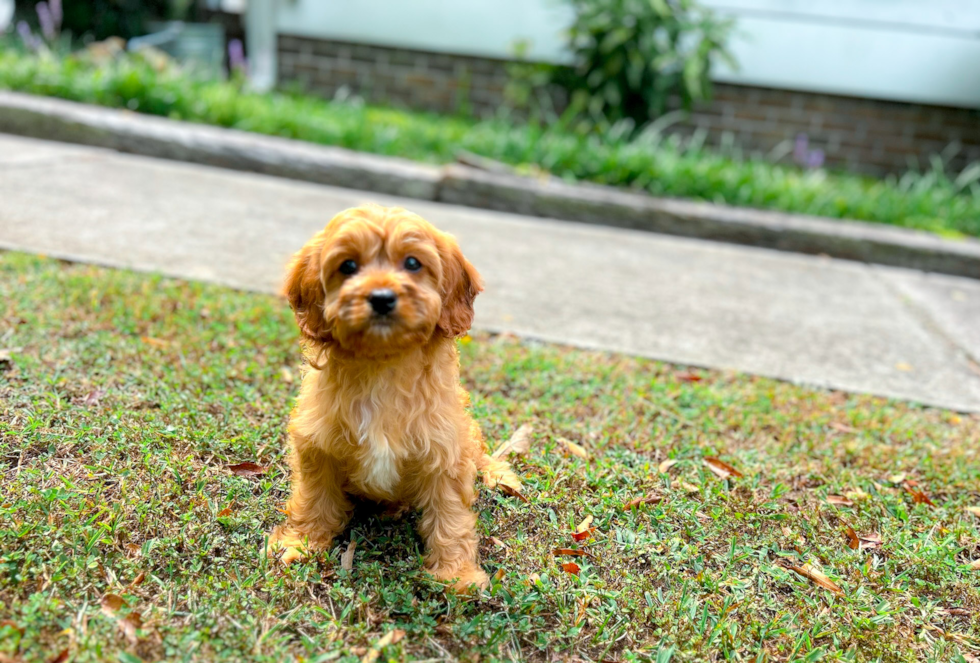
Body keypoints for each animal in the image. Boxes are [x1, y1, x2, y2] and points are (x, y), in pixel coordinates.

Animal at [260, 204, 520, 592]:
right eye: (348, 266)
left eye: (412, 263)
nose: (382, 298)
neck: (383, 364)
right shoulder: (317, 445)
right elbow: (314, 498)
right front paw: (300, 542)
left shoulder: (445, 452)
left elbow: (450, 516)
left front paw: (456, 574)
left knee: (479, 452)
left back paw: (499, 474)